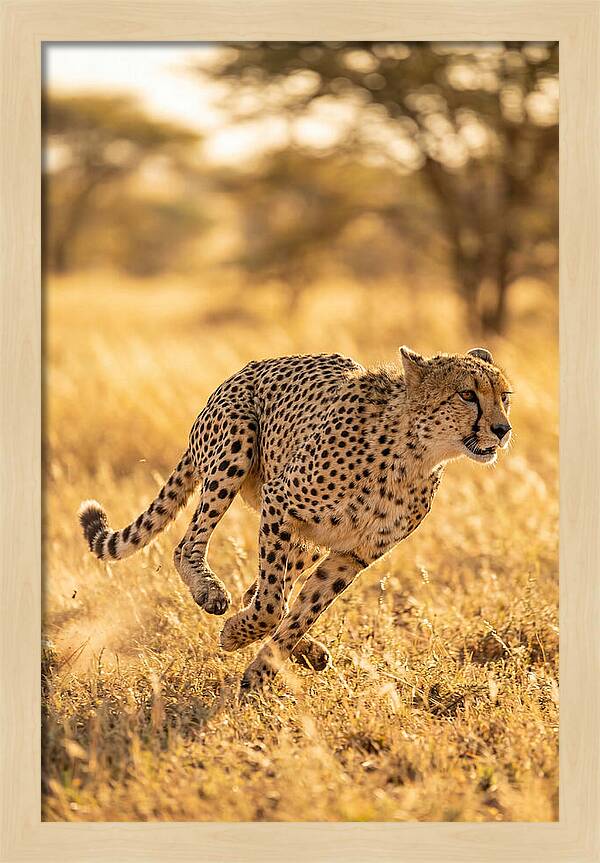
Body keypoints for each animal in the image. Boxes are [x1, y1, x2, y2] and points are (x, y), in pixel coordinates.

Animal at [79, 345, 512, 692]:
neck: (415, 454)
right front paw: (236, 635)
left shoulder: (352, 555)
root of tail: (242, 371)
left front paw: (262, 669)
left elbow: (302, 610)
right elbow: (272, 605)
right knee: (189, 546)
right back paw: (210, 592)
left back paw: (307, 651)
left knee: (261, 590)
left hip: (308, 540)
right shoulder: (280, 503)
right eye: (467, 395)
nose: (502, 429)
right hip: (235, 448)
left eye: (504, 396)